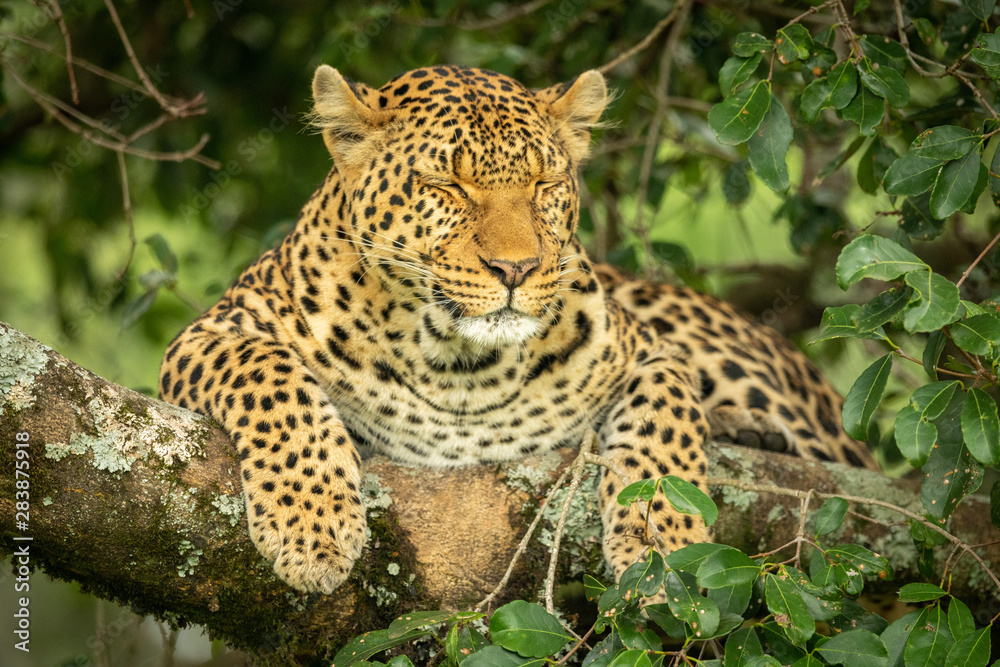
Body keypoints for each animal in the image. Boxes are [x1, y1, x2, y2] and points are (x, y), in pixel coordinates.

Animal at [158, 64, 877, 595]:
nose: (516, 267)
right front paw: (312, 528)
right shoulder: (213, 331)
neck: (457, 363)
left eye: (544, 182)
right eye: (446, 183)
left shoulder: (648, 353)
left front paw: (665, 546)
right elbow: (272, 378)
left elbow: (665, 424)